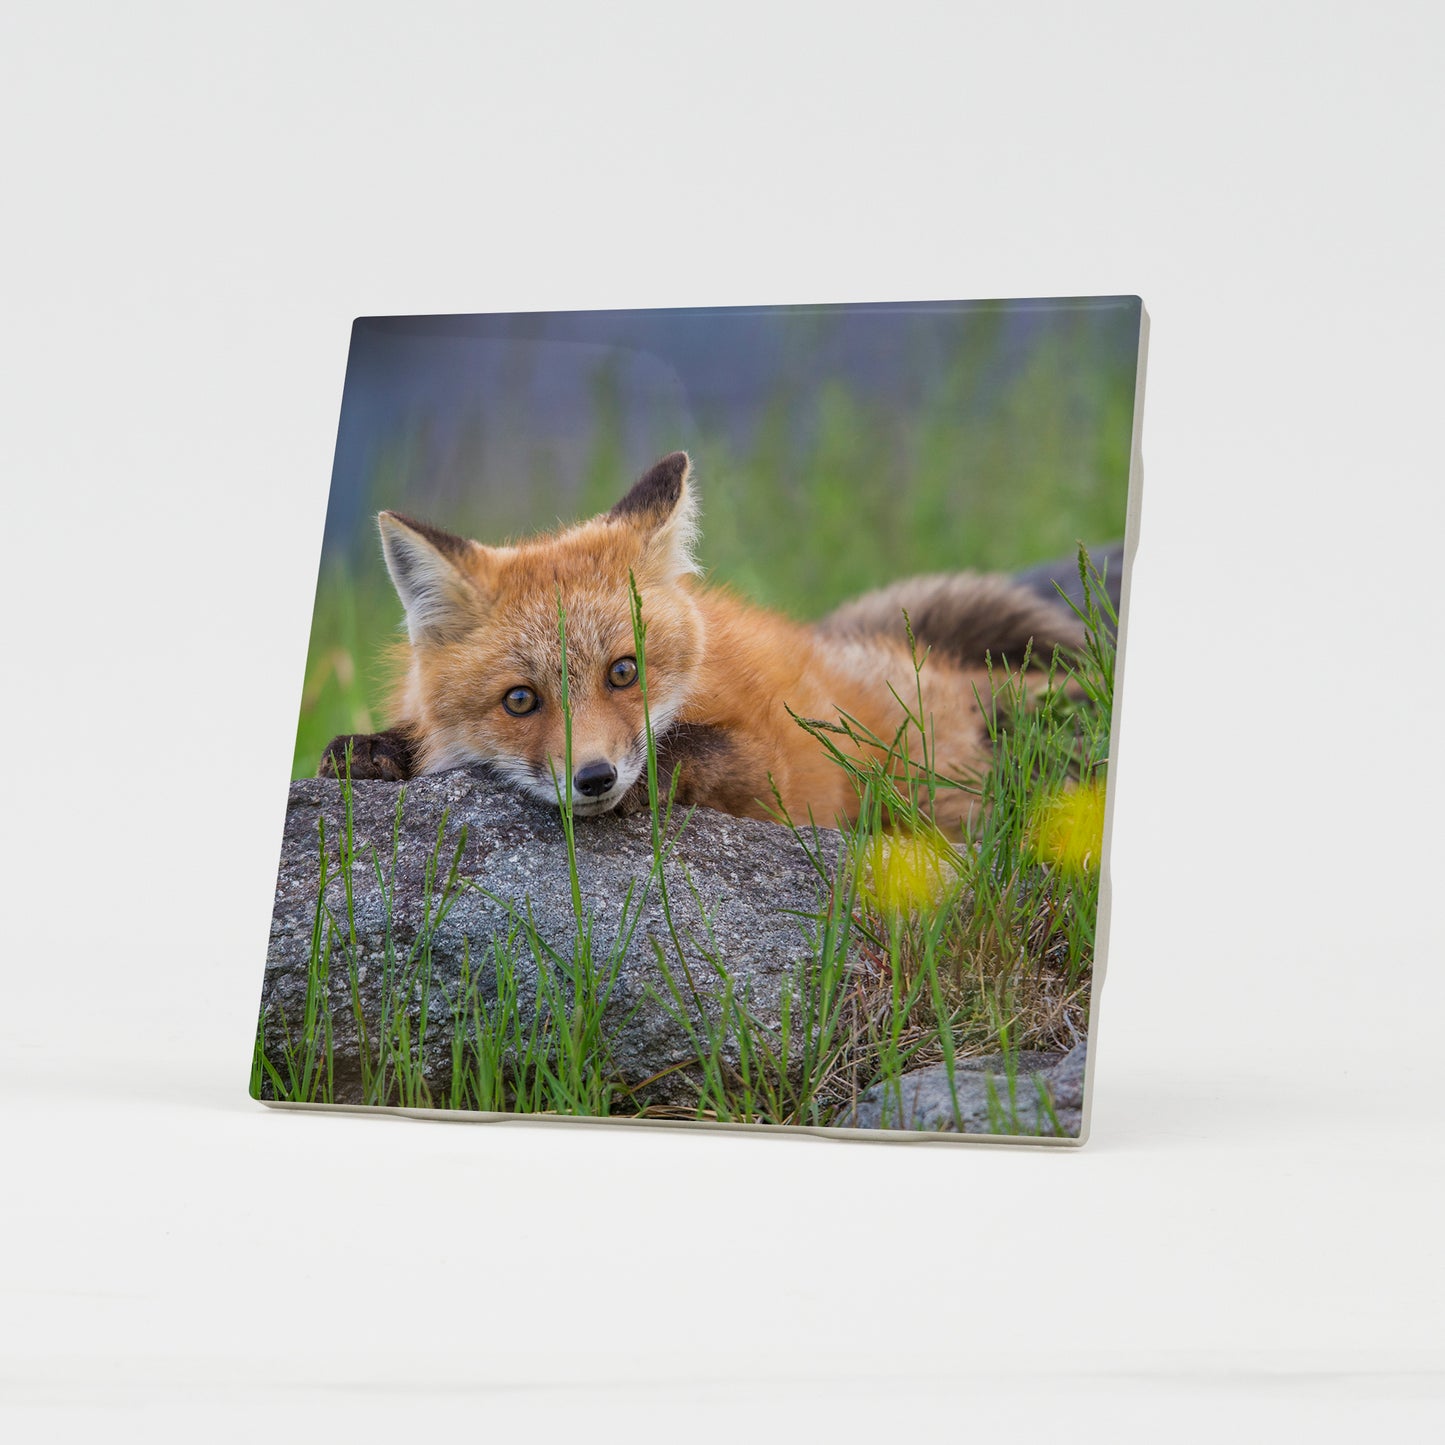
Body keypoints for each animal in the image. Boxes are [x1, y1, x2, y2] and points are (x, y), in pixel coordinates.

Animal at [320, 451, 1090, 833]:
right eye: (519, 700)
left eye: (623, 672)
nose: (595, 778)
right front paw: (376, 748)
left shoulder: (772, 773)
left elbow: (698, 747)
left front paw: (650, 779)